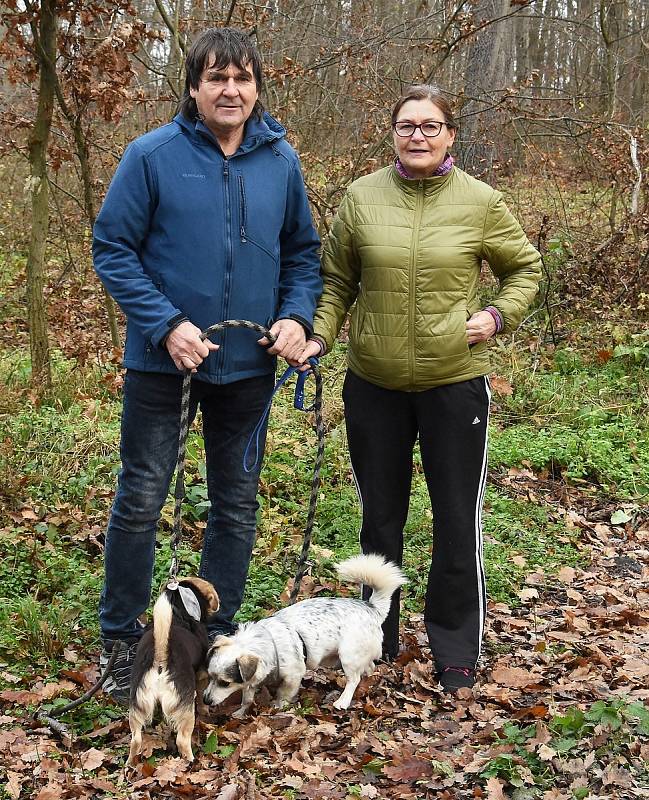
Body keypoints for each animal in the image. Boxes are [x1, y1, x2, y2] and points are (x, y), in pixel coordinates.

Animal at [126, 576, 220, 768]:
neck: (180, 610)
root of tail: (161, 657)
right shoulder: (201, 675)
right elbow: (201, 696)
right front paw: (205, 710)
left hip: (137, 707)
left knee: (135, 740)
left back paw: (130, 764)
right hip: (186, 710)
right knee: (182, 740)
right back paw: (190, 762)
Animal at [202, 552, 404, 716]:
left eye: (225, 683)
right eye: (210, 677)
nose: (205, 700)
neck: (269, 642)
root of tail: (372, 608)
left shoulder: (293, 676)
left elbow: (282, 696)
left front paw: (278, 708)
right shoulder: (252, 680)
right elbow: (247, 698)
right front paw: (240, 713)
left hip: (348, 655)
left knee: (354, 679)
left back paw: (343, 701)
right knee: (369, 667)